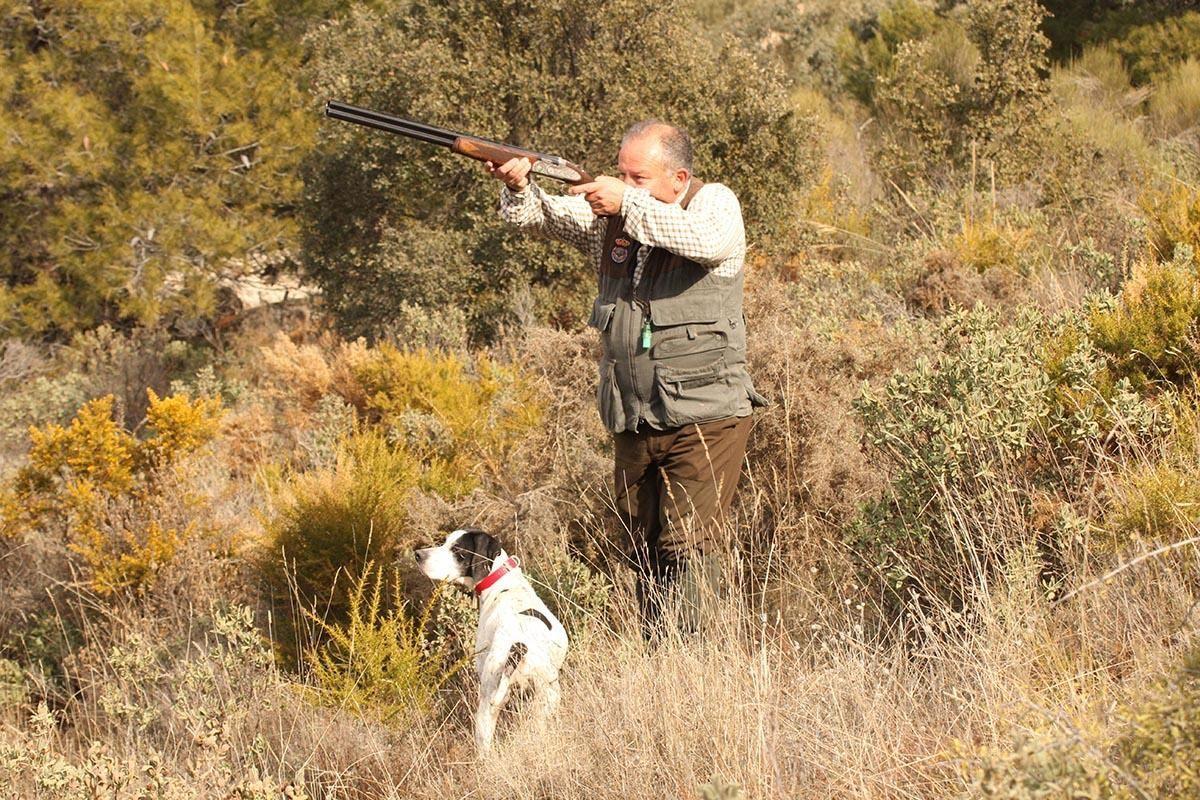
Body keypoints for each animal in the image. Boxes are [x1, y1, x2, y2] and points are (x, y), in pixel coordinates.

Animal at [412, 527, 566, 753]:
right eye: (445, 542)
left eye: (457, 549)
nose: (418, 555)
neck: (502, 582)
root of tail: (520, 646)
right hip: (547, 699)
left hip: (487, 703)